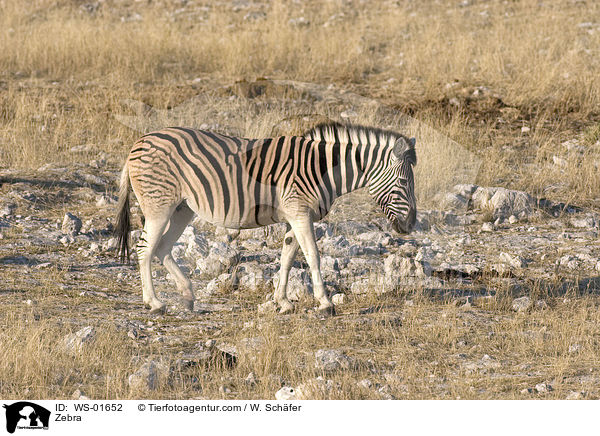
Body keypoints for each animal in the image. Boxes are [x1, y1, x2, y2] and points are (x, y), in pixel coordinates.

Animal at [116, 122, 418, 316]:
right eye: (404, 183)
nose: (411, 226)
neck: (323, 169)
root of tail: (137, 143)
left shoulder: (294, 216)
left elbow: (287, 257)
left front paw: (282, 302)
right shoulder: (299, 212)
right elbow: (313, 256)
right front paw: (325, 303)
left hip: (183, 207)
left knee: (162, 247)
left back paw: (188, 296)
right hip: (159, 205)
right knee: (145, 250)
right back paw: (154, 303)